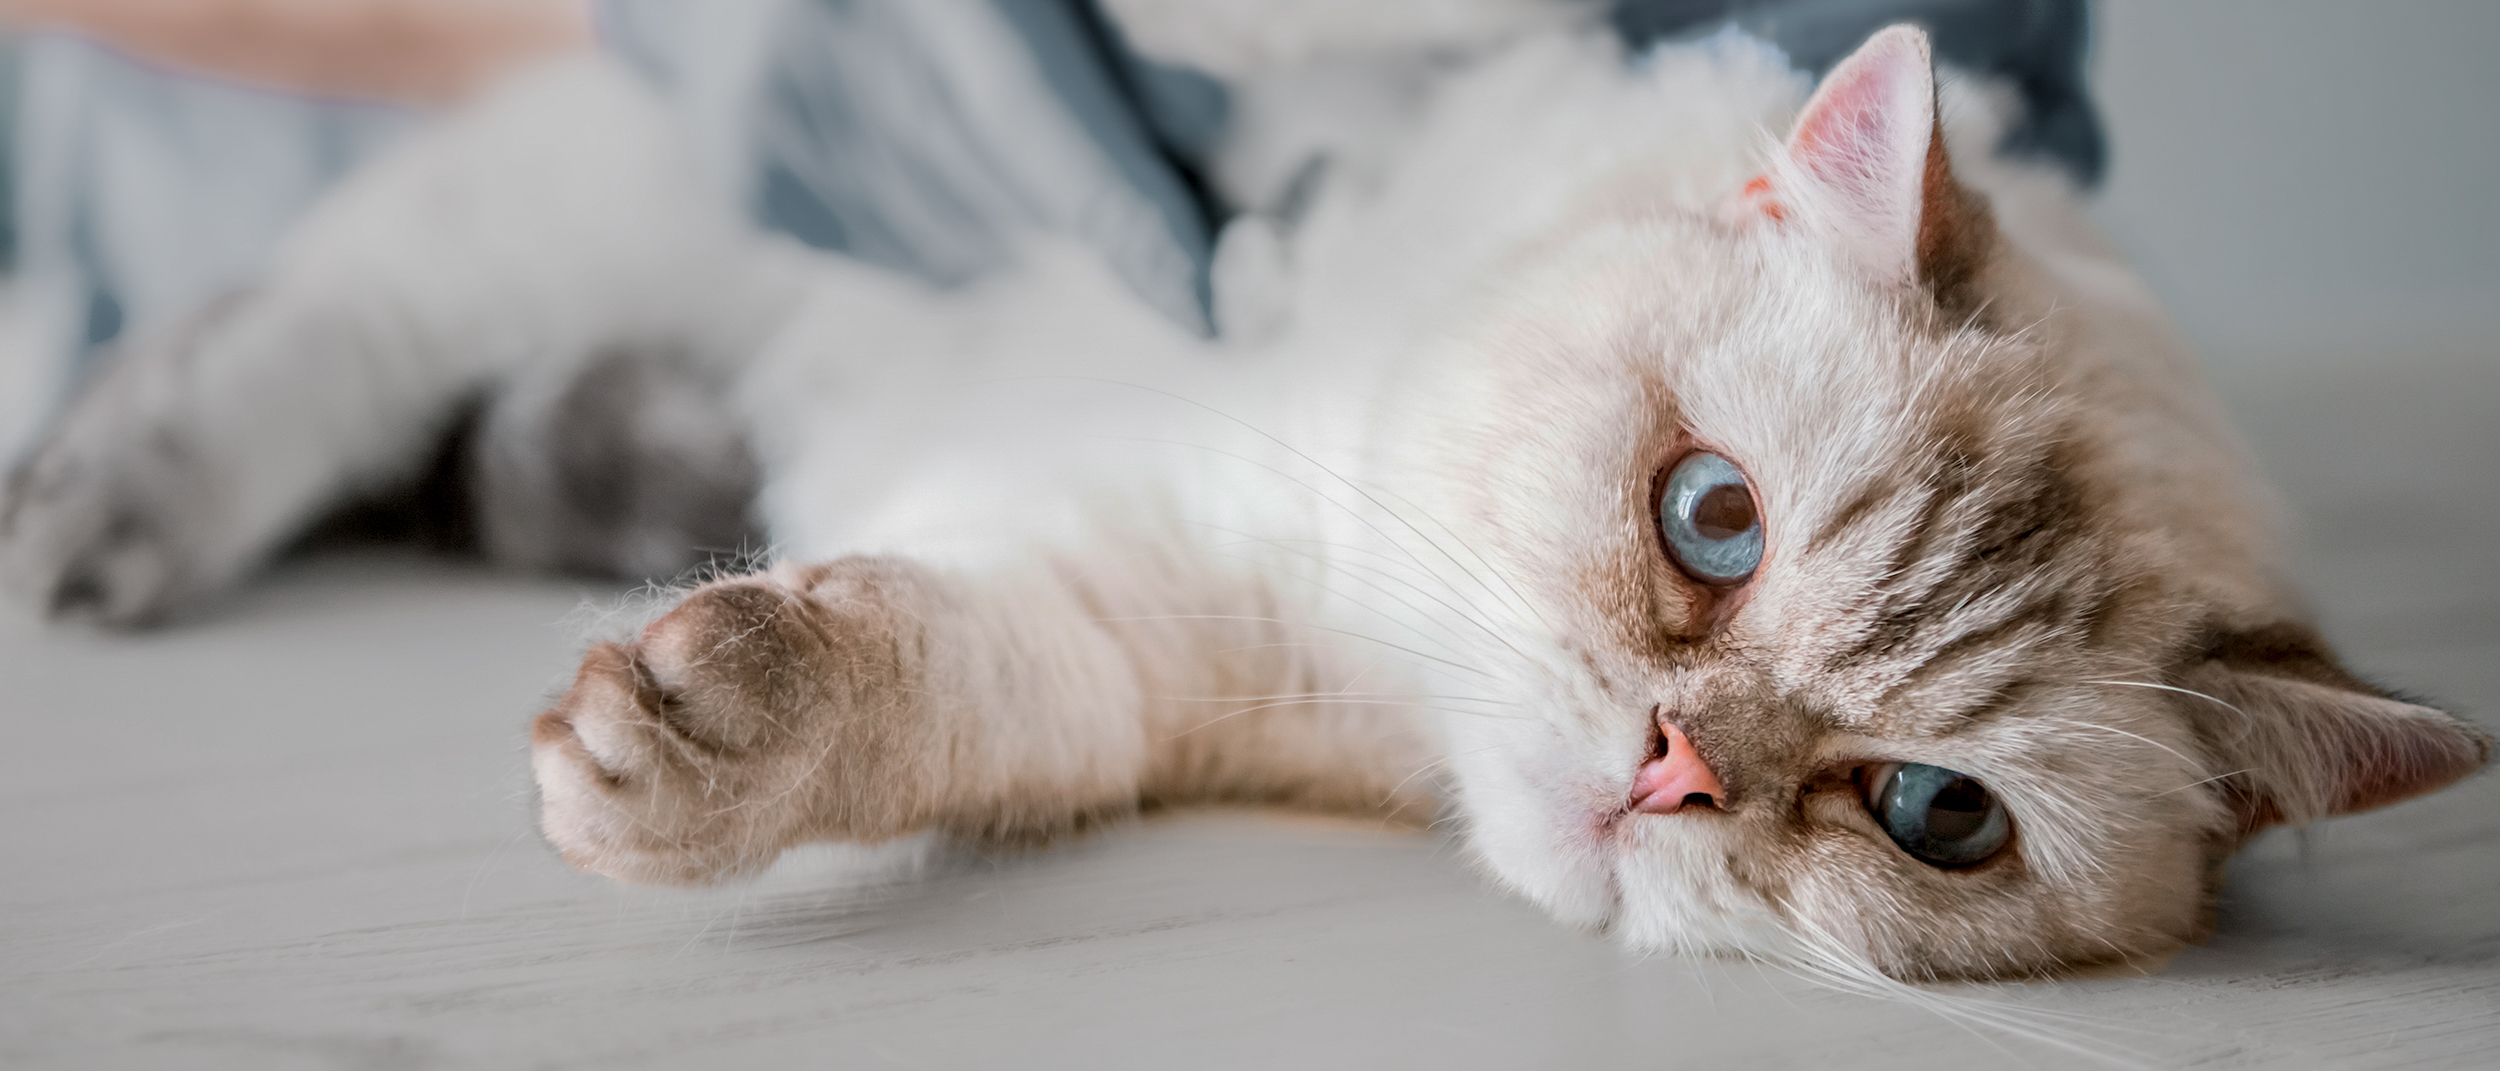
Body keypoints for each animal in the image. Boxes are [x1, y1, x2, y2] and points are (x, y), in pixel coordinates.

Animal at [0, 18, 2480, 985]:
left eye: (1930, 815)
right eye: (1710, 523)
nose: (1671, 770)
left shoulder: (1112, 629)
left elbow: (903, 677)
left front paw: (698, 727)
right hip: (631, 192)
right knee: (305, 333)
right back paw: (91, 519)